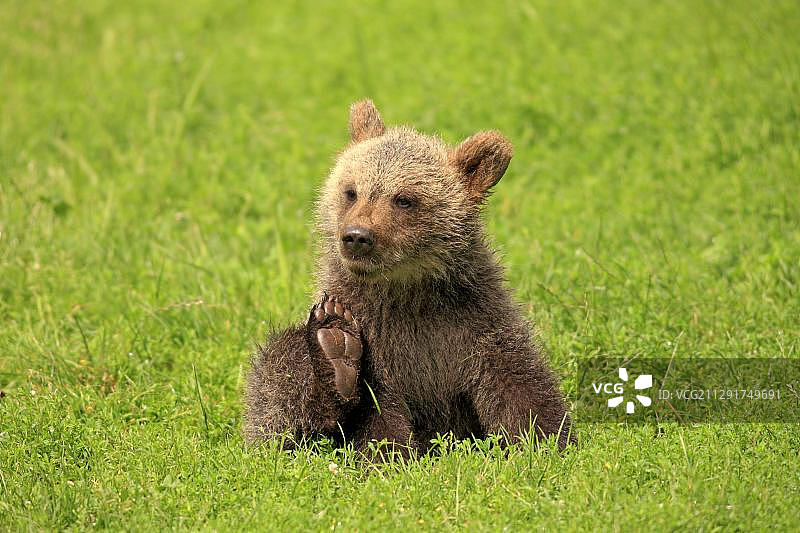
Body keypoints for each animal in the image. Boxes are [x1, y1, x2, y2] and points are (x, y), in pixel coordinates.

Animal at [244, 100, 574, 456]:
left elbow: (520, 386)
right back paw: (335, 349)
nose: (357, 236)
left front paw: (545, 441)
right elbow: (376, 410)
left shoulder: (477, 321)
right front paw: (386, 454)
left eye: (404, 199)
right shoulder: (374, 335)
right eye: (352, 191)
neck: (408, 292)